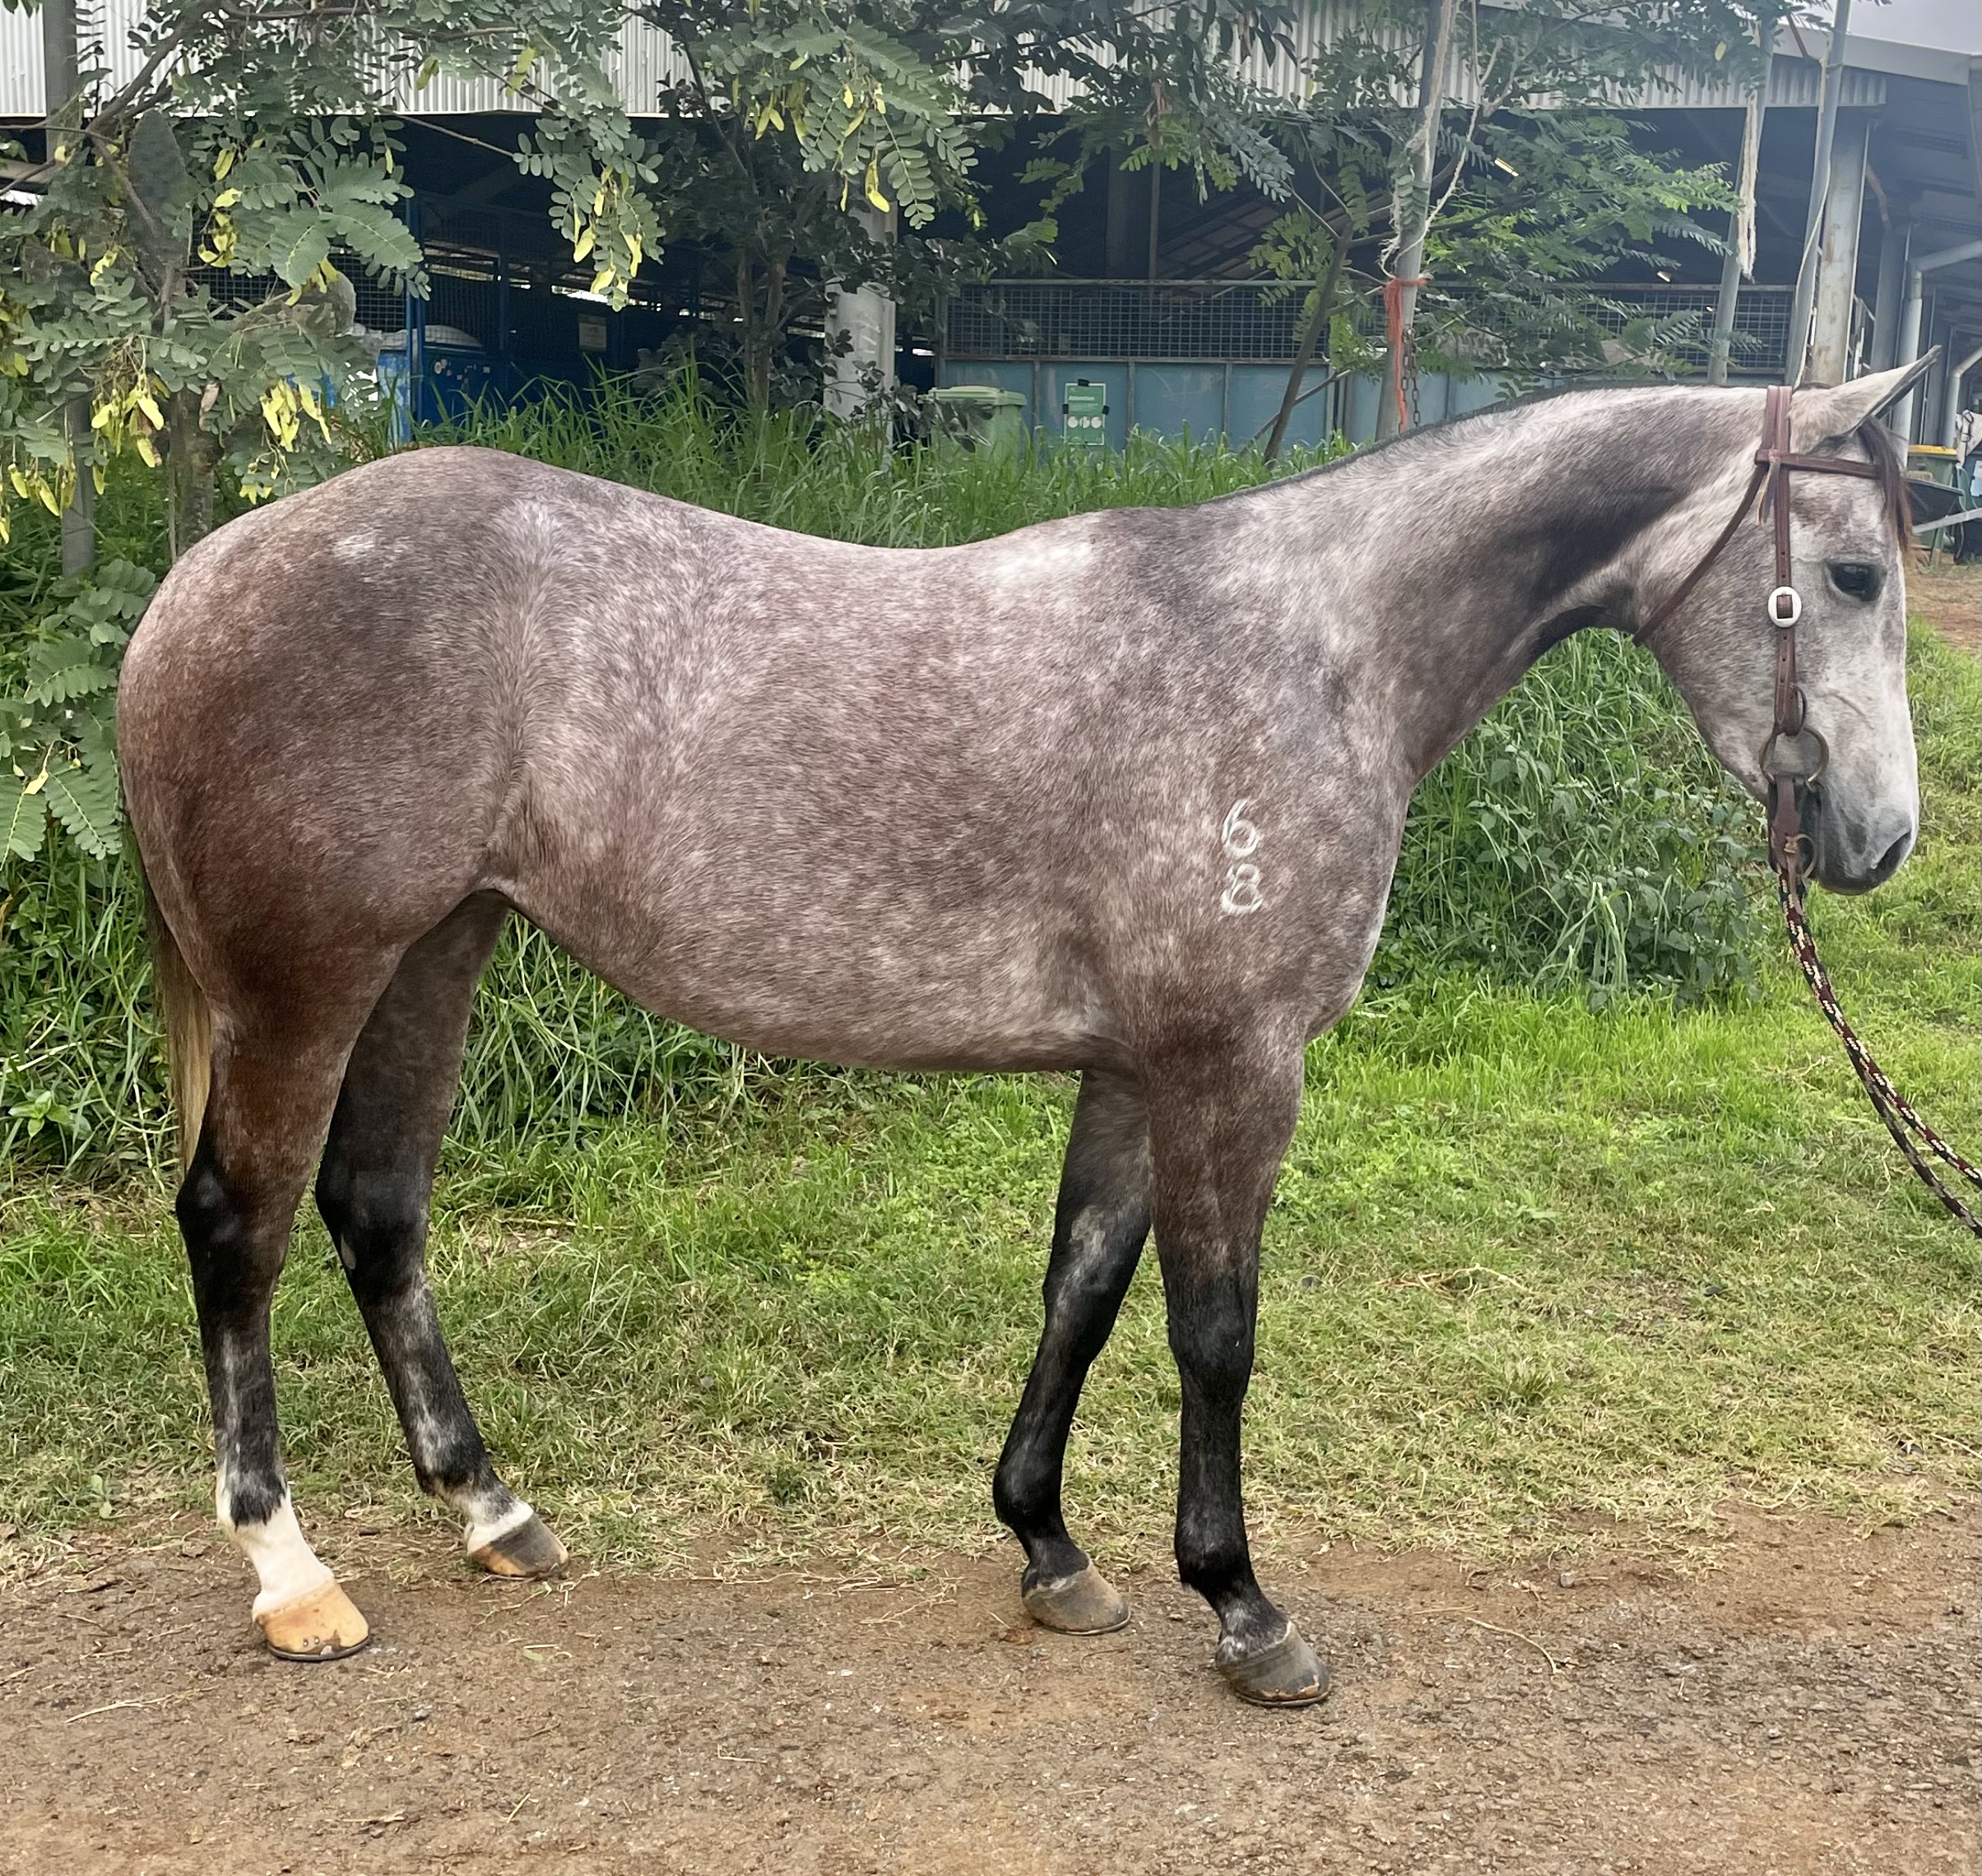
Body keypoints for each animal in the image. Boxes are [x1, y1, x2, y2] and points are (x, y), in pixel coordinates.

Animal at [118, 359, 1929, 1705]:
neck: (1311, 649)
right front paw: (1245, 1610)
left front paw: (1049, 1551)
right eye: (1851, 574)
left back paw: (494, 1509)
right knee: (238, 1227)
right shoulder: (1232, 1065)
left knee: (375, 1210)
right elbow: (1214, 1329)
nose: (1879, 838)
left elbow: (1083, 1292)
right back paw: (291, 1574)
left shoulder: (1132, 1068)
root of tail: (199, 578)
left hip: (439, 952)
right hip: (311, 985)